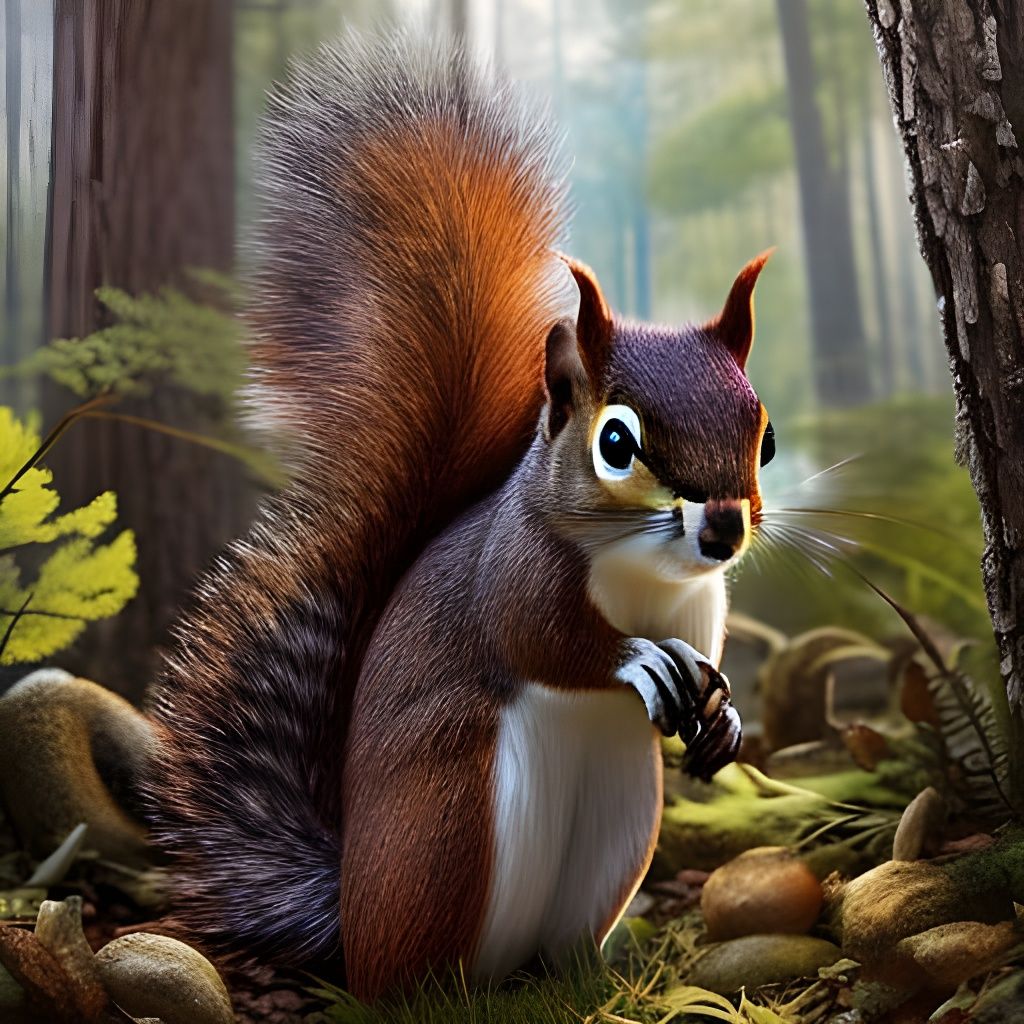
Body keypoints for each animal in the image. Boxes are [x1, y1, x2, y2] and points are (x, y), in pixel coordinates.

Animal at [0, 35, 775, 1001]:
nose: (723, 531)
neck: (646, 570)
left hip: (617, 818)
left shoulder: (703, 604)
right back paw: (437, 991)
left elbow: (705, 655)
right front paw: (636, 660)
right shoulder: (512, 571)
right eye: (616, 442)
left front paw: (726, 717)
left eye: (765, 438)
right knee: (405, 969)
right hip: (449, 822)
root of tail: (348, 912)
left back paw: (578, 977)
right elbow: (541, 638)